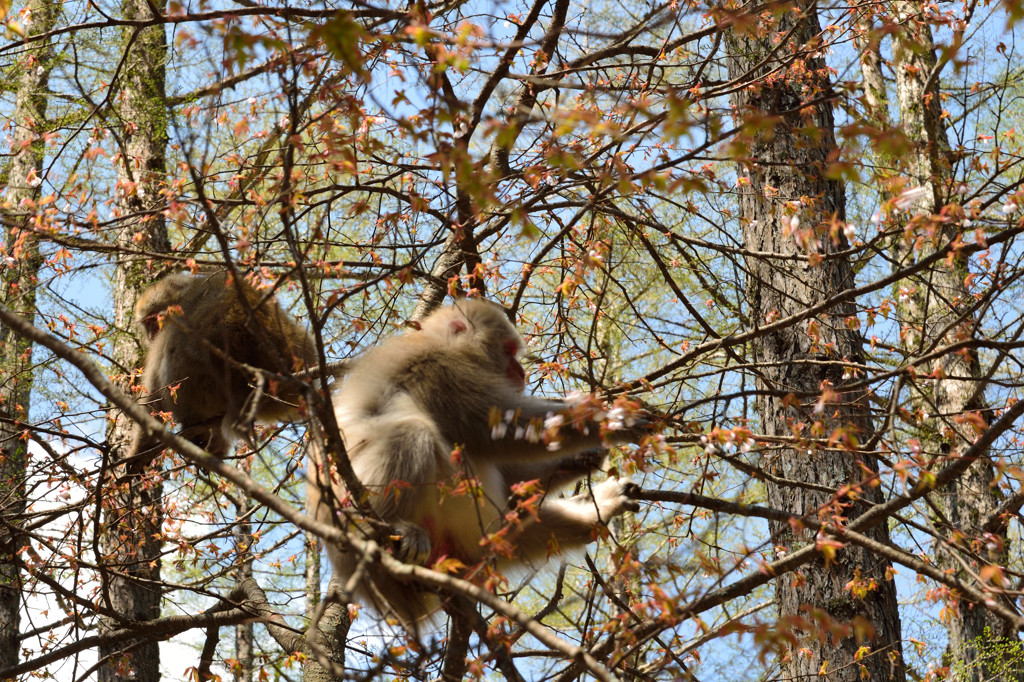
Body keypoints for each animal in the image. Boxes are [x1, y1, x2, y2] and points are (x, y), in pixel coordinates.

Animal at [129, 270, 319, 462]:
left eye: (155, 320)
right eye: (148, 324)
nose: (152, 333)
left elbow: (154, 397)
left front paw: (139, 450)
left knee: (175, 346)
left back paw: (193, 422)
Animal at [303, 294, 651, 622]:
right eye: (508, 350)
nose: (521, 372)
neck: (440, 344)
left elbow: (509, 475)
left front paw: (582, 458)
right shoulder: (439, 369)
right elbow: (497, 429)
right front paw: (614, 421)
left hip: (473, 548)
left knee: (515, 519)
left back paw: (600, 509)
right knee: (412, 432)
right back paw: (385, 531)